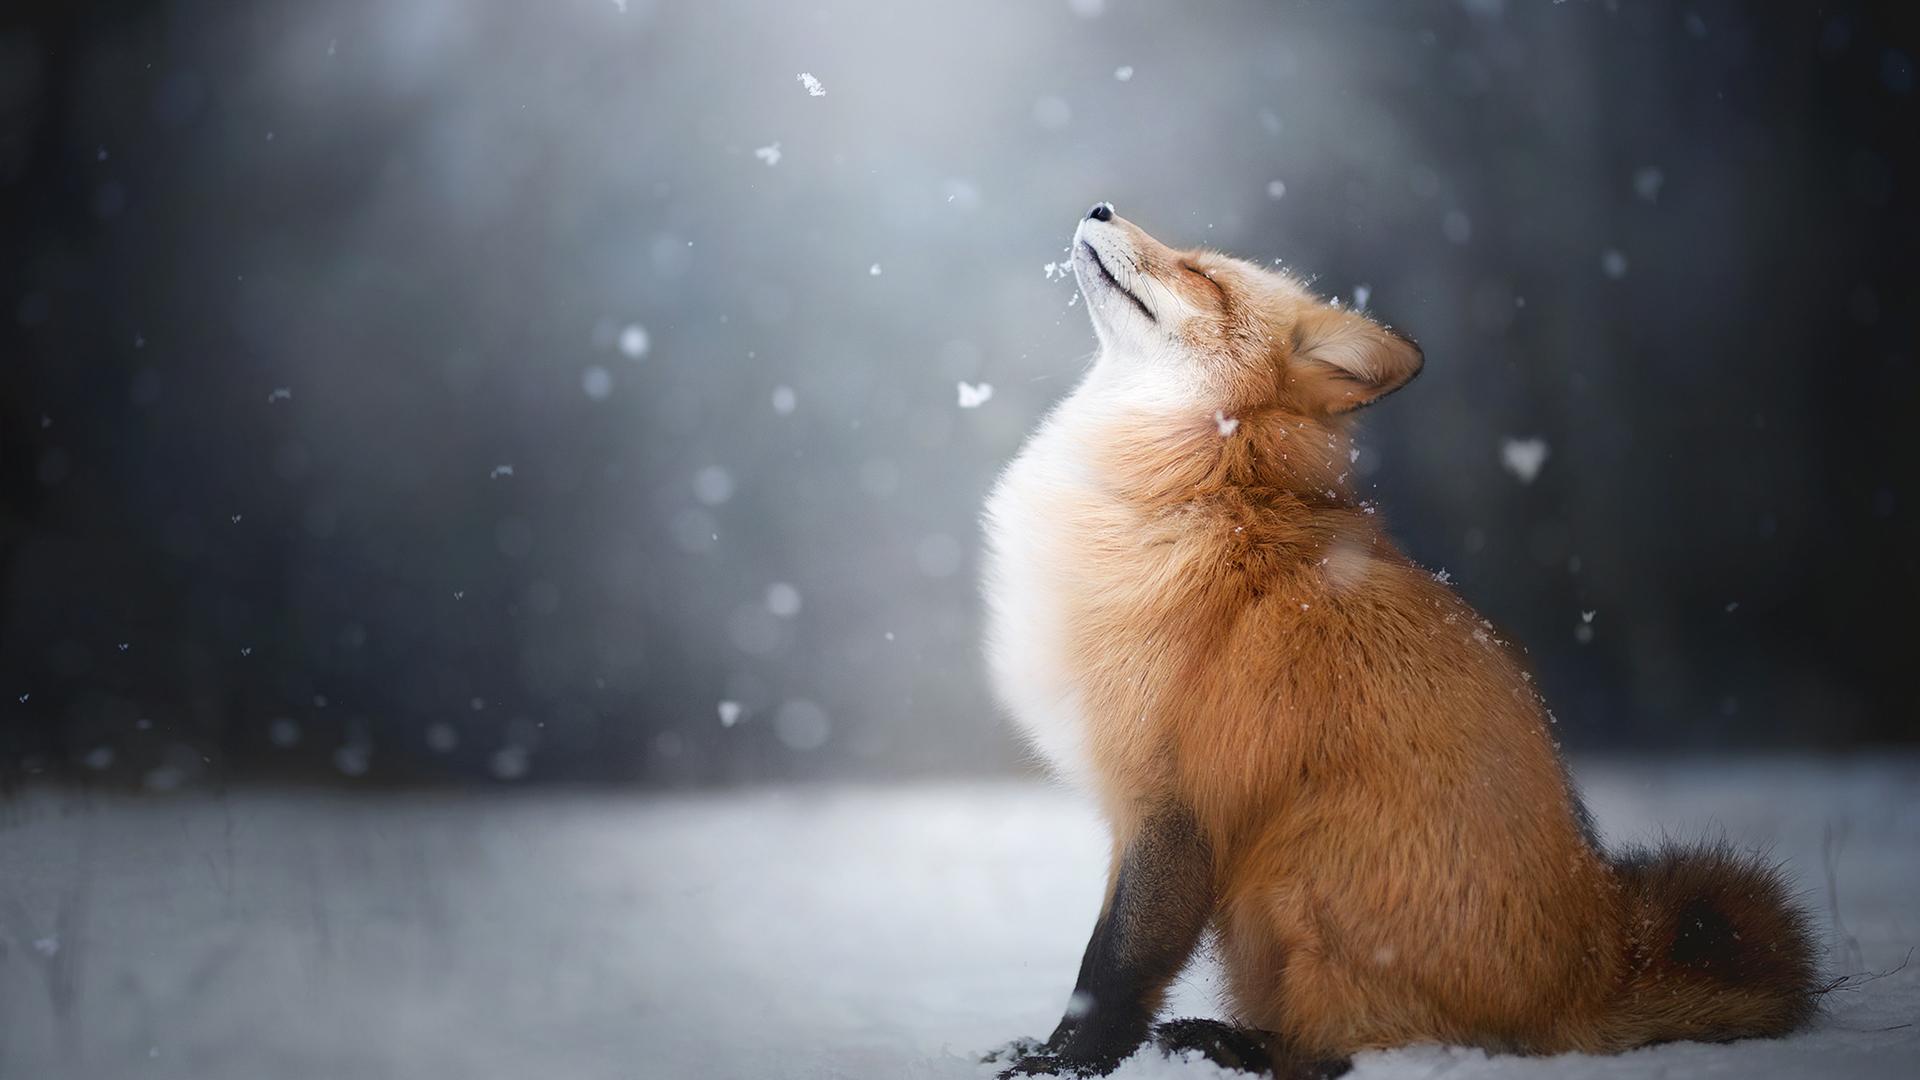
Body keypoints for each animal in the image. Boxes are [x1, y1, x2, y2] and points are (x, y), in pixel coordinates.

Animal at [978, 203, 1819, 1078]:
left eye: (1202, 274)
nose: (1101, 209)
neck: (1208, 482)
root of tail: (1595, 972)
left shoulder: (1174, 802)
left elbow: (1112, 967)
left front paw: (1061, 1063)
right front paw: (1047, 1051)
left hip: (1293, 869)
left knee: (1335, 1052)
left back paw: (1229, 1043)